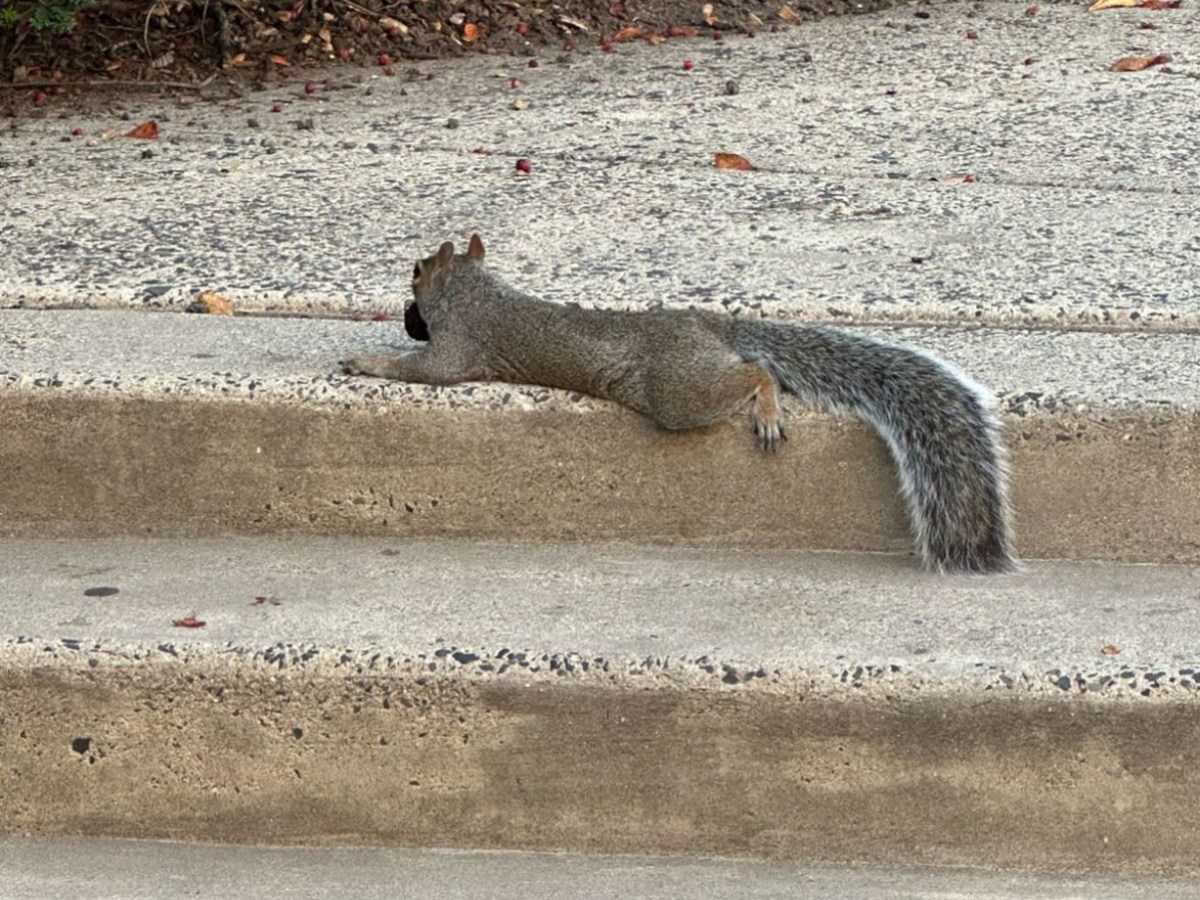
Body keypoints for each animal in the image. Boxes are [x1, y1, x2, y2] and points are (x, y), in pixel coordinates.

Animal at [341, 235, 1015, 574]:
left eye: (415, 271)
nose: (406, 314)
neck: (477, 294)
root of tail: (710, 328)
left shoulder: (458, 351)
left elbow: (425, 370)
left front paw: (365, 361)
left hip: (676, 391)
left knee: (754, 373)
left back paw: (766, 407)